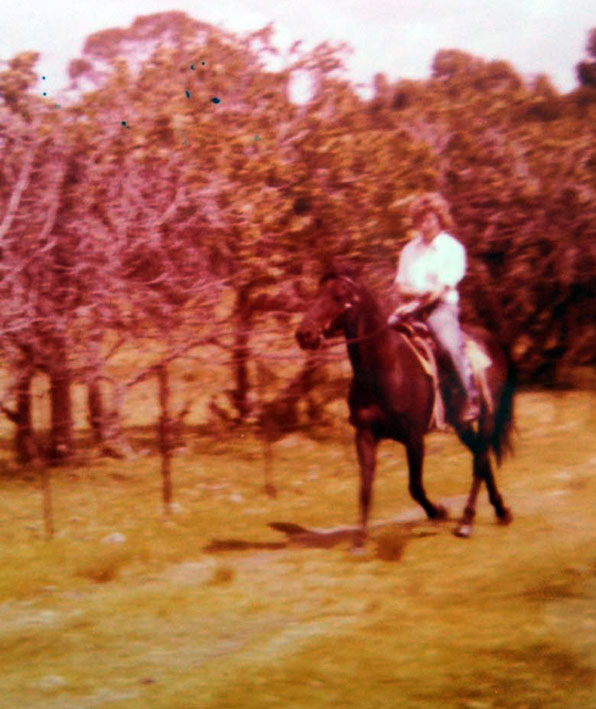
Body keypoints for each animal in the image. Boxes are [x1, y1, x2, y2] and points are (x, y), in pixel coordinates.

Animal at [296, 266, 516, 548]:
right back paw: (501, 510)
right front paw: (359, 540)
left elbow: (415, 486)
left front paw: (439, 511)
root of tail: (492, 343)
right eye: (316, 294)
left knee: (480, 460)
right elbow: (365, 488)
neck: (387, 367)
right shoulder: (365, 435)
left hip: (487, 415)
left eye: (339, 296)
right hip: (461, 424)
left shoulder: (414, 438)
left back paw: (466, 522)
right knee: (482, 456)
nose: (304, 335)